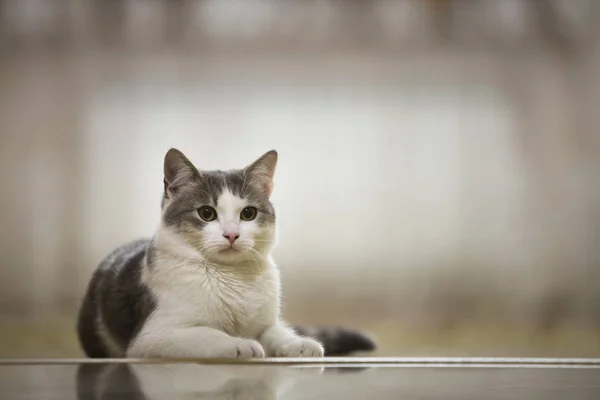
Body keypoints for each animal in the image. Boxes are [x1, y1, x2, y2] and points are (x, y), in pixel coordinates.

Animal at [76, 148, 376, 358]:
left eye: (248, 213)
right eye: (206, 213)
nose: (232, 234)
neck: (233, 277)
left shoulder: (266, 321)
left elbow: (275, 331)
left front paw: (298, 343)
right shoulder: (152, 336)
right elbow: (205, 333)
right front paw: (240, 344)